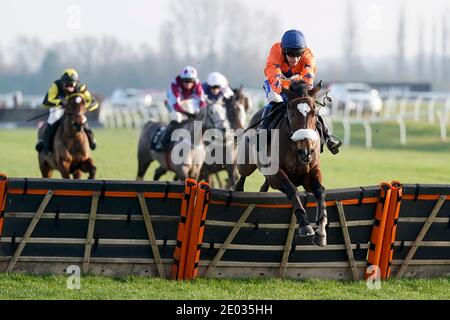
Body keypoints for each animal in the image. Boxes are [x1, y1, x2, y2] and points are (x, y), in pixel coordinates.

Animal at [236, 81, 326, 246]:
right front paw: (305, 225)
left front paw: (321, 230)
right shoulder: (276, 174)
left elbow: (320, 191)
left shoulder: (310, 173)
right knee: (242, 177)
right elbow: (292, 190)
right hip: (246, 164)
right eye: (292, 114)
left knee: (263, 186)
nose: (306, 151)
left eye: (315, 114)